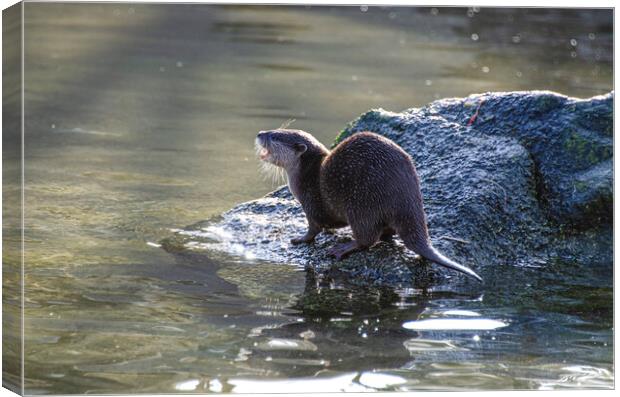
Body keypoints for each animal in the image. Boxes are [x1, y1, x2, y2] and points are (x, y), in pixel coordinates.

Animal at [254, 127, 482, 282]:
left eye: (275, 136)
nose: (260, 133)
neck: (306, 174)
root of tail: (407, 199)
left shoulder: (311, 202)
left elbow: (314, 228)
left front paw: (300, 239)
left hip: (362, 204)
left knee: (368, 238)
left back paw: (344, 248)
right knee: (386, 233)